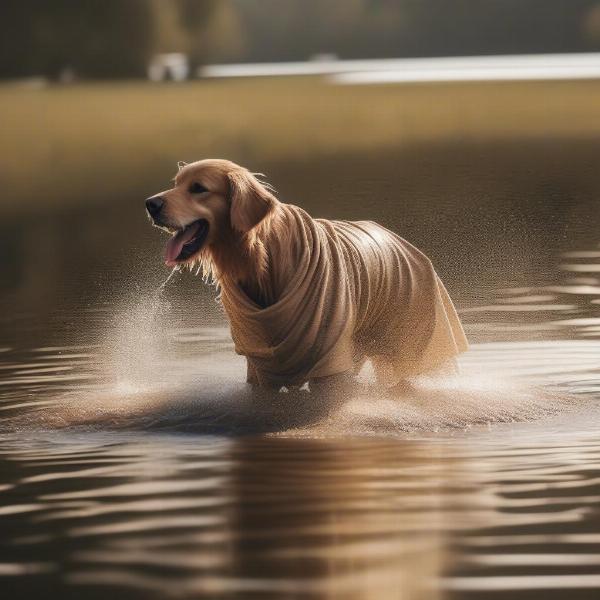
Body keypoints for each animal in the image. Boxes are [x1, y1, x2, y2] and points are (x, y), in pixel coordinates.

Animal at [146, 158, 468, 390]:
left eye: (198, 188)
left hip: (416, 344)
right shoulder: (260, 363)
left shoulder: (329, 360)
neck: (265, 261)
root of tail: (406, 244)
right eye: (176, 184)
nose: (150, 204)